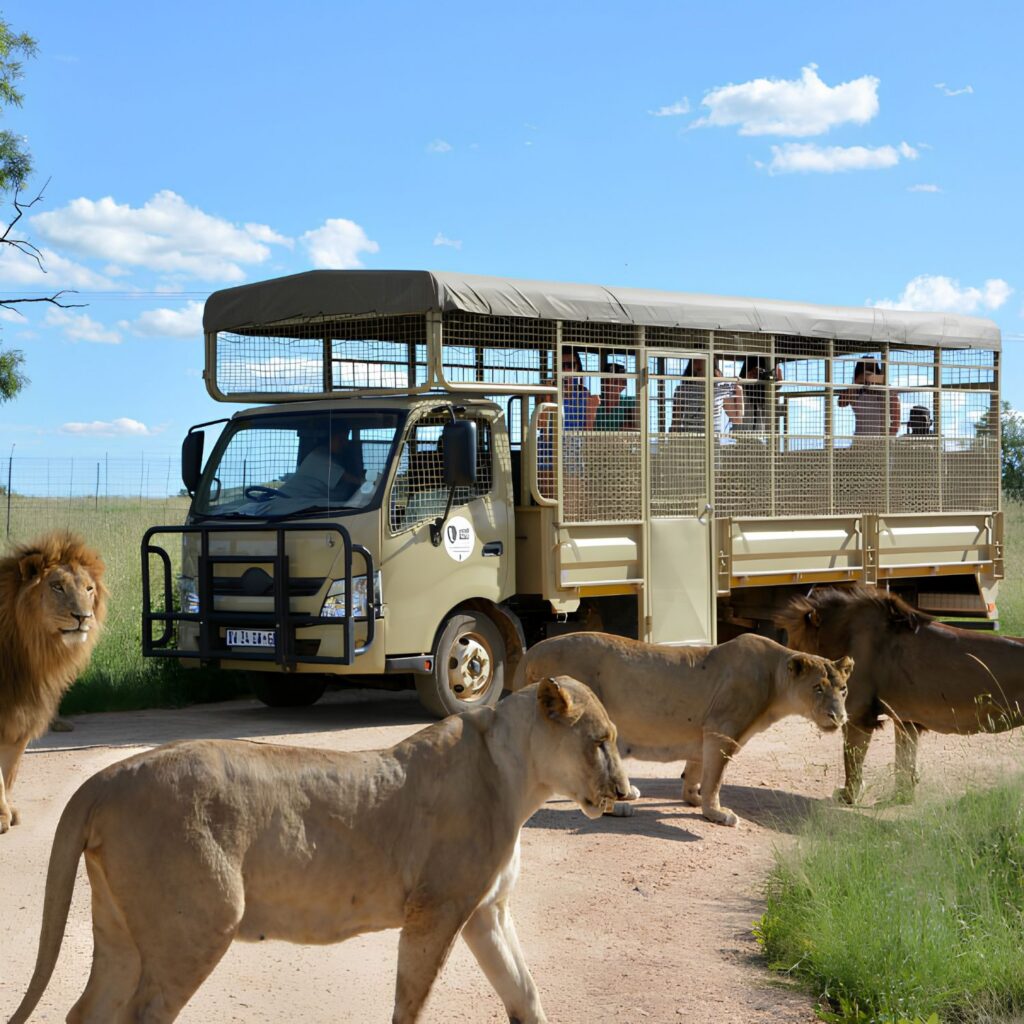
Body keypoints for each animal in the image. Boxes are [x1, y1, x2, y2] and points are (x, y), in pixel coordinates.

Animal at [0, 531, 107, 833]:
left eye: (89, 589)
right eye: (57, 586)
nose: (83, 617)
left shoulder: (23, 711)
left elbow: (10, 769)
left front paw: (9, 810)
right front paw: (0, 817)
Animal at [7, 678, 631, 1024]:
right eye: (600, 742)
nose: (626, 793)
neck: (519, 776)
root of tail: (107, 777)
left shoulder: (486, 913)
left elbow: (526, 997)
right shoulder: (436, 910)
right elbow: (411, 1004)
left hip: (121, 929)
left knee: (88, 1011)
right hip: (199, 922)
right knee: (142, 1013)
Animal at [514, 631, 852, 826]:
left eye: (843, 689)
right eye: (818, 688)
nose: (839, 718)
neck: (775, 679)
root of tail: (530, 652)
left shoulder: (704, 732)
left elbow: (696, 770)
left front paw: (693, 799)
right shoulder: (722, 730)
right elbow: (715, 778)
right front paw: (716, 813)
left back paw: (629, 793)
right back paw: (619, 808)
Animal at [779, 584, 1024, 804]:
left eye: (792, 641)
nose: (783, 670)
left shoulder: (858, 715)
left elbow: (852, 761)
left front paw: (848, 797)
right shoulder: (906, 720)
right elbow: (904, 763)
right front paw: (900, 798)